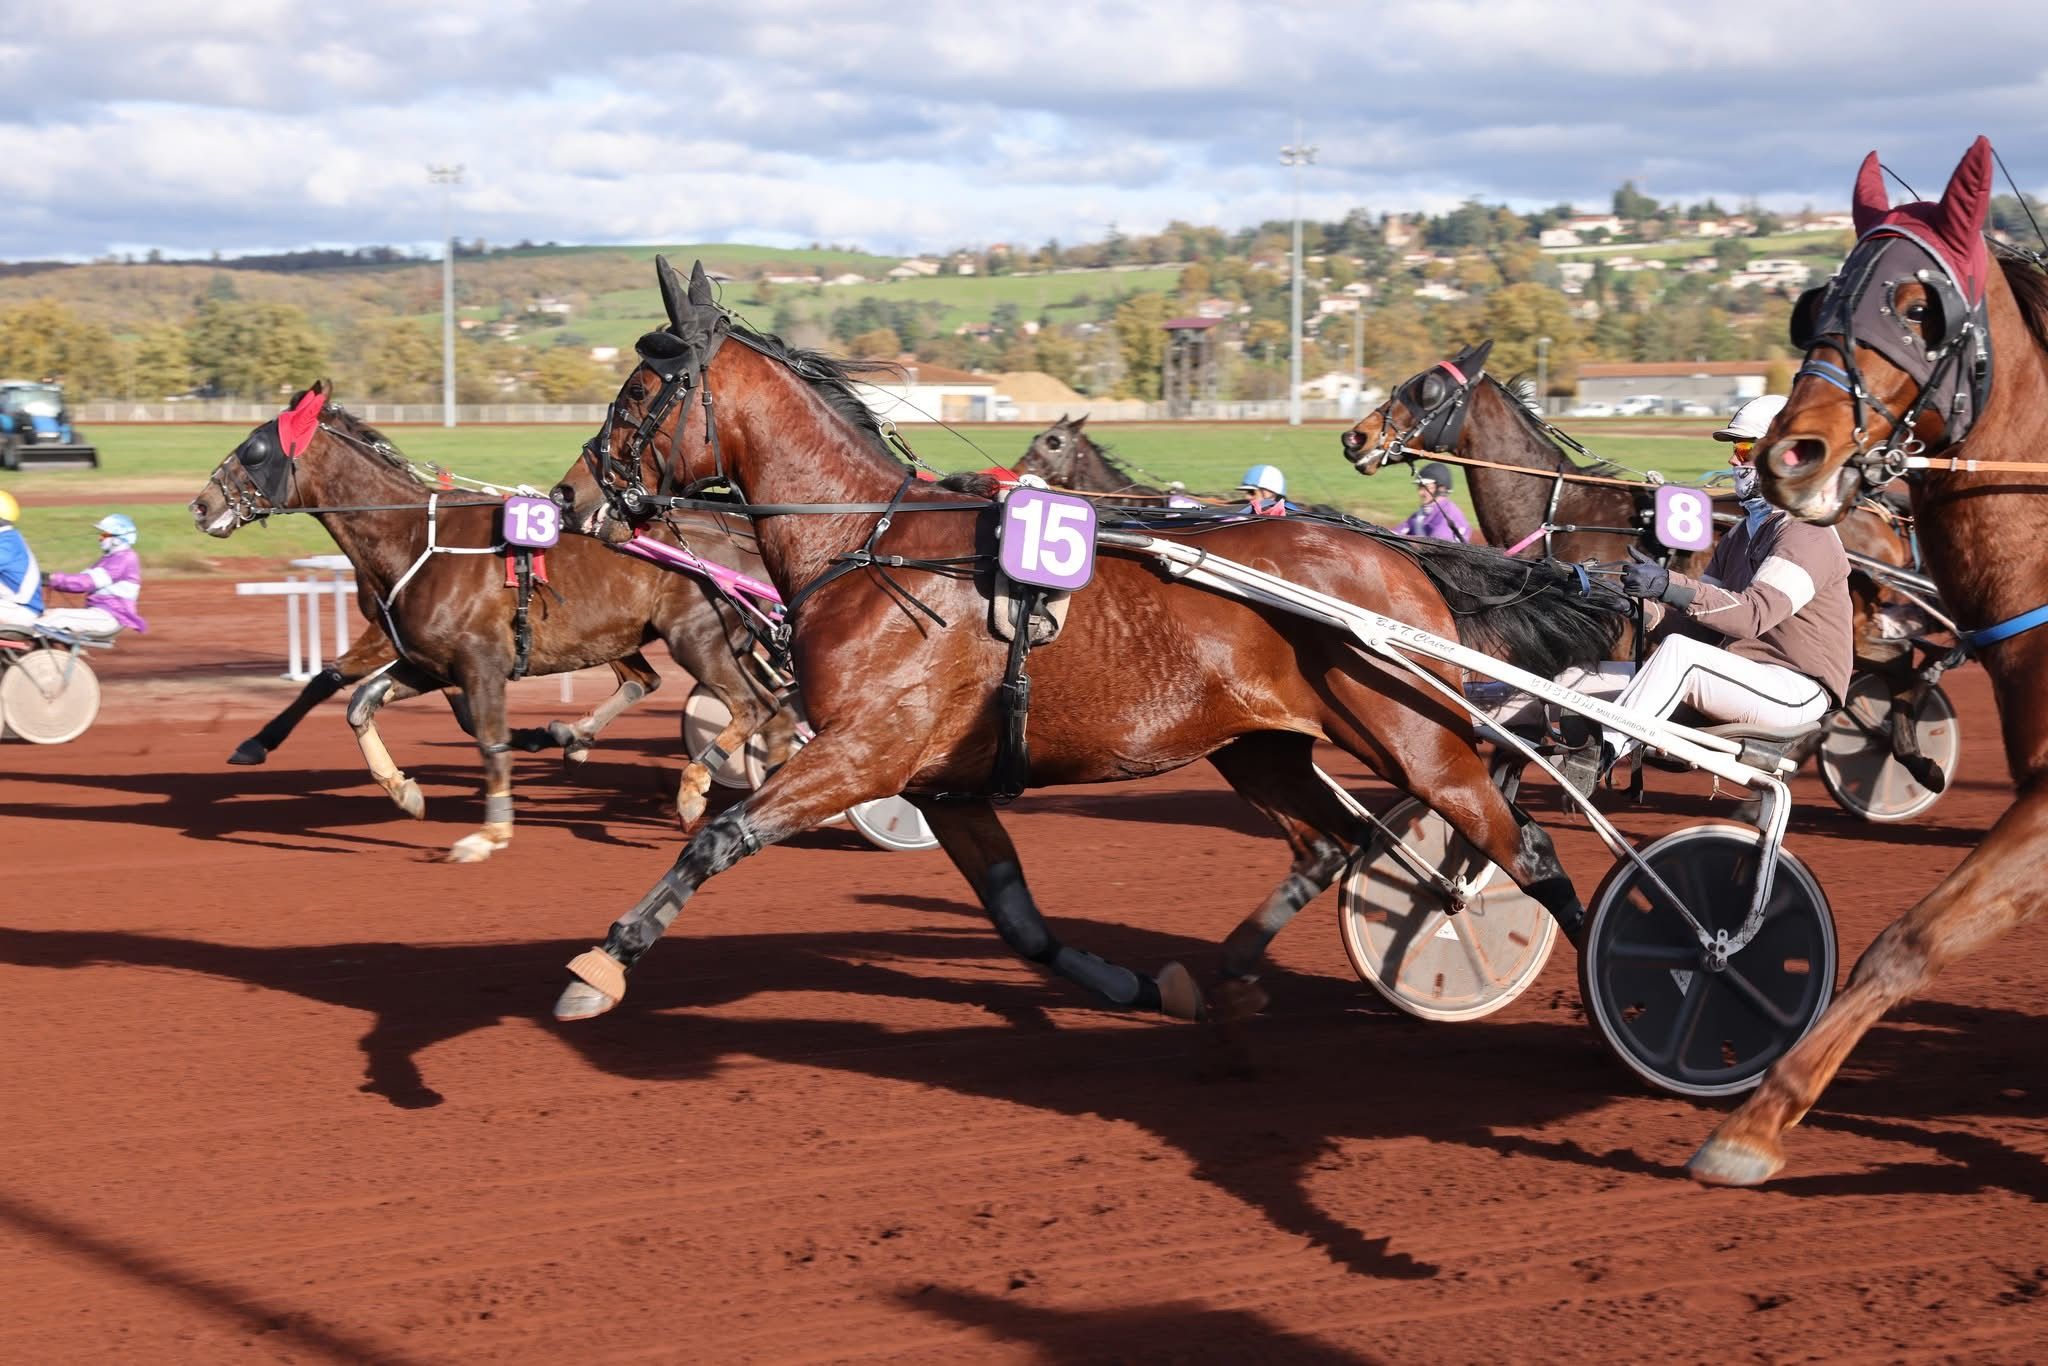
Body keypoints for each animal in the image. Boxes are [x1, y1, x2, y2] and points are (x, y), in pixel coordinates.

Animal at [187, 384, 797, 861]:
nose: (200, 505)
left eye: (254, 448)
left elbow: (485, 738)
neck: (413, 539)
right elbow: (359, 701)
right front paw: (403, 791)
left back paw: (692, 789)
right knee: (751, 706)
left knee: (754, 705)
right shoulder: (430, 661)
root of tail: (737, 532)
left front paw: (492, 830)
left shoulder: (478, 663)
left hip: (697, 636)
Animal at [541, 256, 1629, 1028]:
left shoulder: (863, 752)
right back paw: (1233, 973)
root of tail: (1395, 556)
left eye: (635, 395)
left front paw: (602, 961)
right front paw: (1131, 985)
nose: (569, 493)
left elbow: (720, 836)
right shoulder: (946, 784)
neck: (872, 545)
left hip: (1418, 738)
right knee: (1335, 843)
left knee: (1519, 848)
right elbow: (1020, 922)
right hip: (1261, 745)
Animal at [1340, 347, 1954, 795]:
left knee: (1885, 668)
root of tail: (1879, 513)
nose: (1355, 437)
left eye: (1426, 389)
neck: (1563, 507)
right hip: (1859, 624)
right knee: (1889, 665)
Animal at [1688, 136, 2048, 1185]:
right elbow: (1907, 939)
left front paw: (1754, 1120)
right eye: (1820, 305)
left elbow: (1916, 938)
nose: (1790, 456)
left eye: (1920, 309)